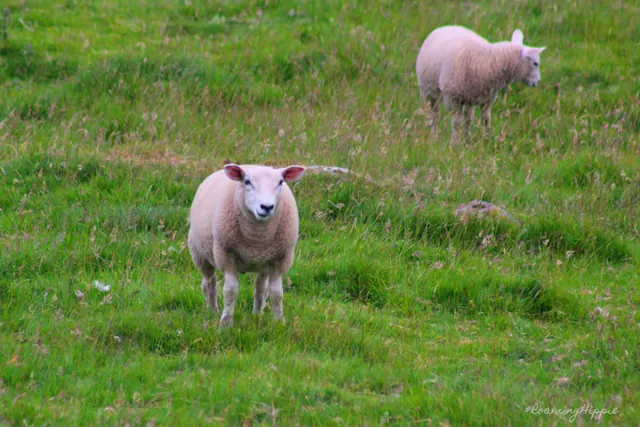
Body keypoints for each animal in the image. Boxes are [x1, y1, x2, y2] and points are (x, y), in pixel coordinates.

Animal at [188, 163, 306, 327]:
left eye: (281, 182)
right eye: (247, 182)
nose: (267, 207)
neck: (257, 239)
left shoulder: (280, 258)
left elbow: (276, 293)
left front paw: (279, 323)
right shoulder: (225, 255)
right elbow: (230, 291)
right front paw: (225, 324)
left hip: (264, 264)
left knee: (260, 287)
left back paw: (257, 314)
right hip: (200, 255)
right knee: (209, 284)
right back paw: (212, 311)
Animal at [416, 25, 546, 143]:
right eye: (535, 63)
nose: (537, 82)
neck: (489, 61)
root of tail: (445, 27)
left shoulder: (487, 98)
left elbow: (485, 119)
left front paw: (486, 139)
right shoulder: (453, 97)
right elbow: (456, 123)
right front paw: (454, 144)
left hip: (468, 96)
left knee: (467, 117)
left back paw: (466, 137)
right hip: (428, 91)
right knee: (434, 115)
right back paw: (434, 137)